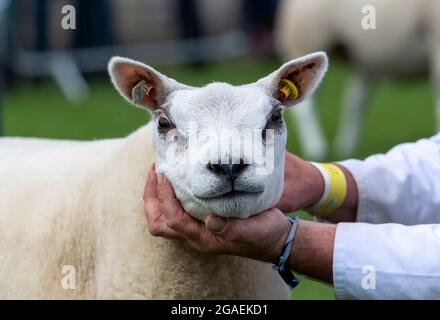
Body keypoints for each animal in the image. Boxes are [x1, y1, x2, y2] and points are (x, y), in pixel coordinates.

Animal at [276, 0, 440, 159]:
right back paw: (317, 147)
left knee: (355, 101)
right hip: (306, 41)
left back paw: (347, 146)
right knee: (307, 107)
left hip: (365, 60)